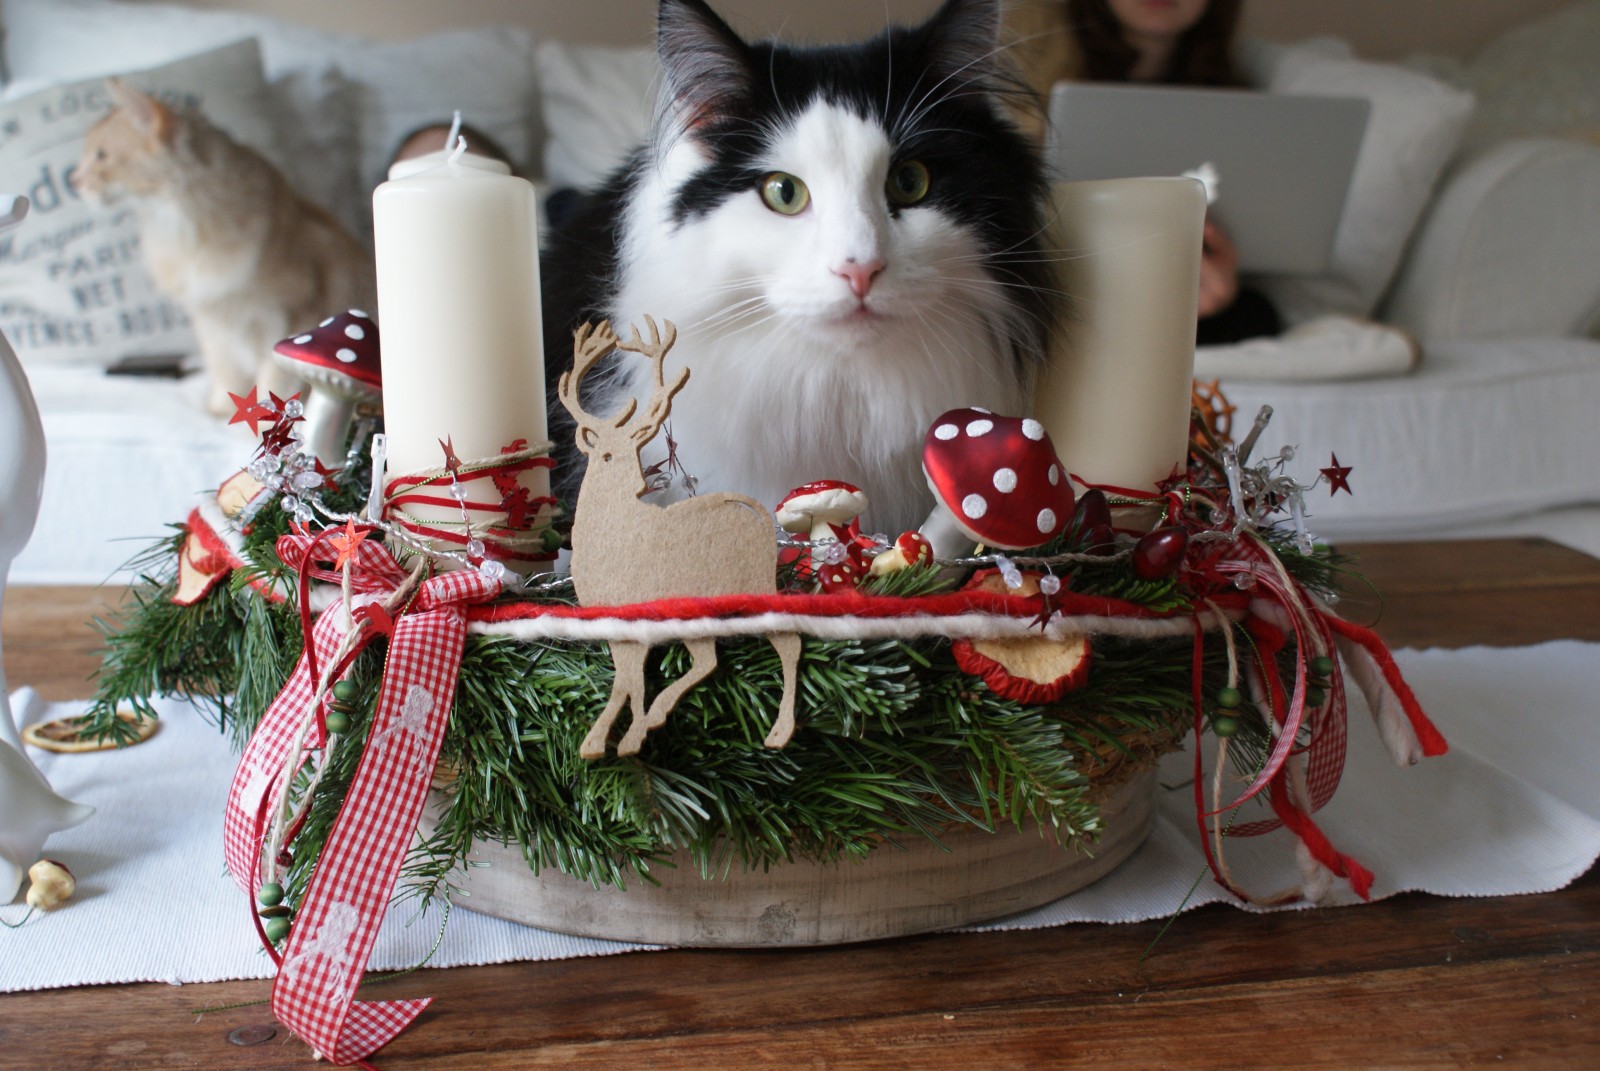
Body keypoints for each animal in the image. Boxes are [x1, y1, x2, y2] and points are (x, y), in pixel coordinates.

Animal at [75, 80, 376, 416]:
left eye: (101, 155)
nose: (74, 182)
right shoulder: (211, 322)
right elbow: (225, 372)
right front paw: (222, 409)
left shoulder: (288, 313)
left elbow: (276, 378)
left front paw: (267, 419)